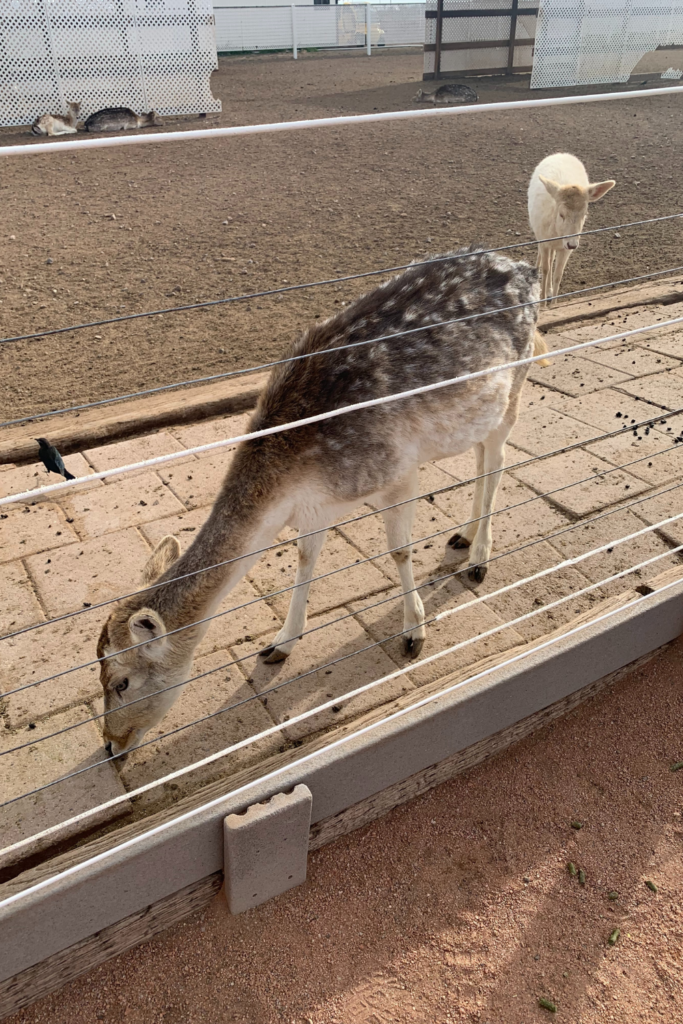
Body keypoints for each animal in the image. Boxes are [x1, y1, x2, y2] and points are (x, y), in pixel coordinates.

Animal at [97, 246, 544, 753]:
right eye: (98, 677)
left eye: (122, 682)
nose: (110, 745)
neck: (296, 476)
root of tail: (527, 267)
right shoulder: (315, 509)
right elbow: (305, 561)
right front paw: (279, 644)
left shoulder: (399, 472)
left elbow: (400, 550)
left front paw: (414, 632)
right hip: (476, 412)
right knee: (481, 457)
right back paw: (462, 538)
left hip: (518, 382)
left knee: (499, 458)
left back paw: (480, 558)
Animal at [528, 151, 618, 303]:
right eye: (561, 214)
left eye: (585, 213)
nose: (572, 244)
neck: (557, 234)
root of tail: (561, 153)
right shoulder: (545, 240)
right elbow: (546, 270)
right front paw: (542, 304)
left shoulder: (565, 249)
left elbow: (558, 274)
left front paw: (554, 303)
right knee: (542, 256)